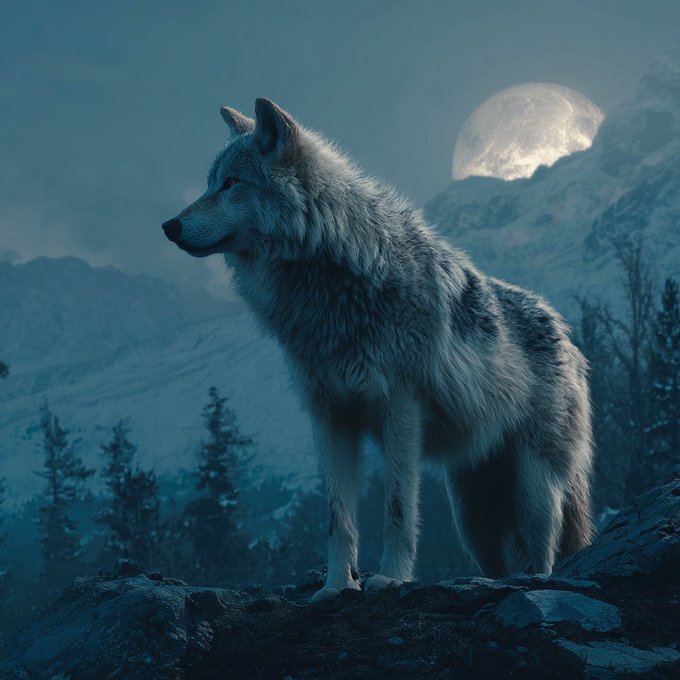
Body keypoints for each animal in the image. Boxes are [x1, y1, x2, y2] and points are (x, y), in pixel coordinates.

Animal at [163, 98, 594, 599]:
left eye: (231, 184)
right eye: (210, 183)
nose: (169, 226)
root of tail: (567, 334)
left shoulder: (401, 410)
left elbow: (397, 510)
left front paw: (390, 577)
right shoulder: (329, 417)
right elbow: (338, 519)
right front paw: (335, 587)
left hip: (534, 487)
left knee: (543, 555)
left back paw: (536, 581)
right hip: (469, 511)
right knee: (497, 563)